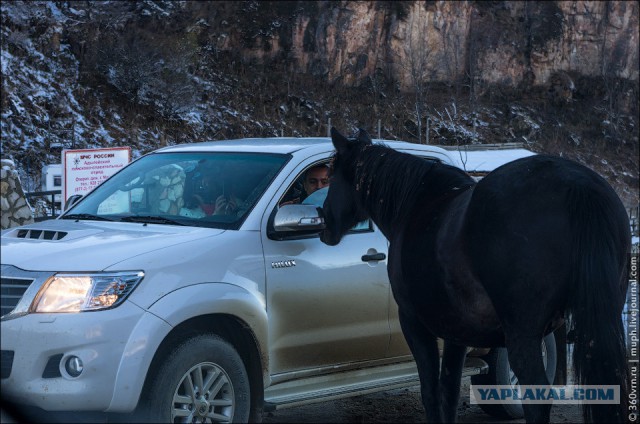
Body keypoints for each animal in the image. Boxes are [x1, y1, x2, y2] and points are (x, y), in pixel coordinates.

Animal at [320, 127, 632, 422]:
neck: (415, 204)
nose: (324, 225)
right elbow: (448, 392)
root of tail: (577, 184)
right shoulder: (456, 333)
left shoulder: (414, 324)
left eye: (330, 178)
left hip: (522, 334)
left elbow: (430, 392)